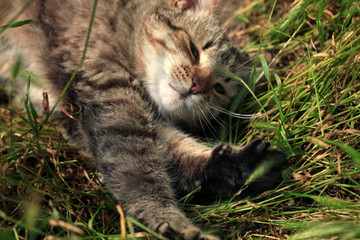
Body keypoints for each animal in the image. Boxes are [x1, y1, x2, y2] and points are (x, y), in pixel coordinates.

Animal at [0, 0, 286, 239]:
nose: (197, 86)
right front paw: (170, 221)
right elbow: (140, 174)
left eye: (219, 88)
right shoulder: (112, 99)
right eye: (194, 50)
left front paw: (239, 166)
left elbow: (177, 152)